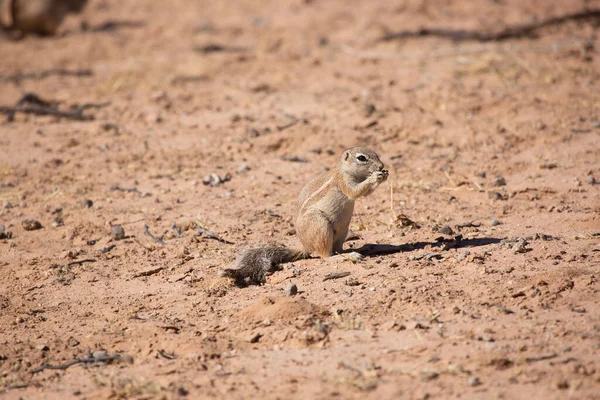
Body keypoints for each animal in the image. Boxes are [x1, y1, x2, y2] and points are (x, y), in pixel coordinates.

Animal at [221, 148, 390, 286]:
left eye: (376, 154)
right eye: (361, 158)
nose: (381, 166)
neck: (345, 170)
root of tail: (305, 245)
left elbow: (366, 193)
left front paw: (384, 176)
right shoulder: (344, 182)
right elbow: (356, 191)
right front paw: (375, 177)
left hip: (343, 230)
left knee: (337, 249)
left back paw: (350, 253)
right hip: (320, 225)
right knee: (325, 256)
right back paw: (345, 257)